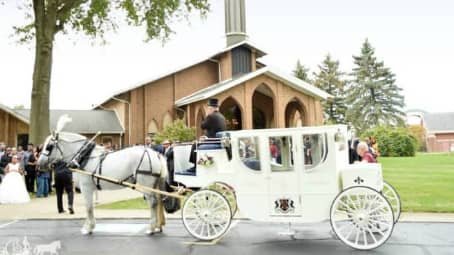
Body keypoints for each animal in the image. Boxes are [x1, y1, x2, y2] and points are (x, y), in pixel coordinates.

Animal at [37, 115, 168, 235]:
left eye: (49, 147)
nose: (39, 164)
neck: (84, 156)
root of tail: (155, 154)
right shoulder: (90, 188)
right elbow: (89, 206)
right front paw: (88, 226)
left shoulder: (86, 187)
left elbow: (88, 207)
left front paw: (89, 228)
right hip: (153, 184)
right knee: (158, 202)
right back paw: (158, 226)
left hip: (146, 185)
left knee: (153, 203)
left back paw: (151, 228)